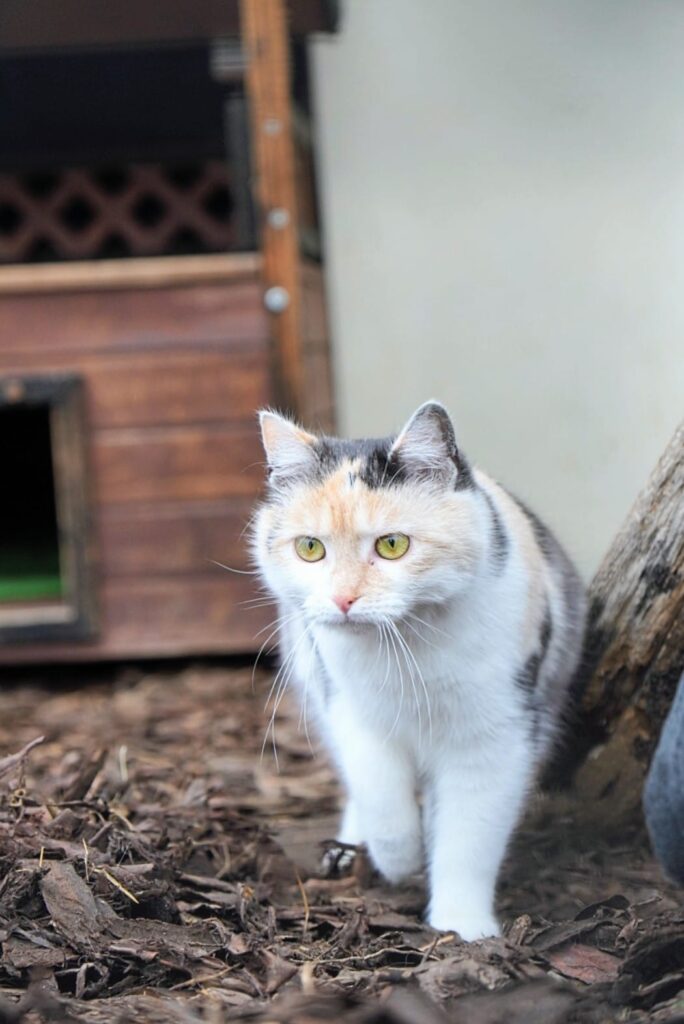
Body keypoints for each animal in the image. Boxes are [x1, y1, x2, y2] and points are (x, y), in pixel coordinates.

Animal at [253, 400, 586, 941]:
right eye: (309, 548)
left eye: (392, 545)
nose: (343, 599)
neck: (405, 649)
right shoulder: (351, 709)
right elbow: (381, 794)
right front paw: (399, 861)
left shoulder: (498, 737)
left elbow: (470, 836)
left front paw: (464, 928)